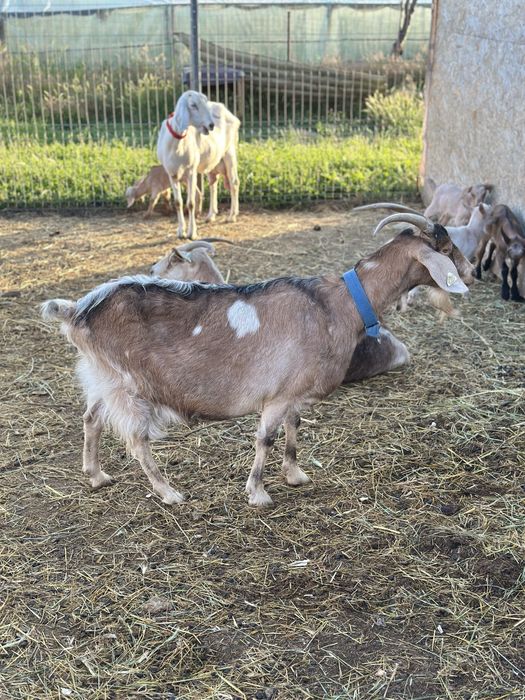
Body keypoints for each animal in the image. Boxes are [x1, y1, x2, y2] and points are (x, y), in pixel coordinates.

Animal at [41, 214, 472, 508]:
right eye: (445, 250)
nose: (470, 270)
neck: (339, 303)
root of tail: (76, 311)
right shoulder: (277, 395)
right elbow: (265, 437)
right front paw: (258, 492)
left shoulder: (295, 389)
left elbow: (294, 428)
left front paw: (295, 474)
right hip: (127, 385)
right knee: (136, 440)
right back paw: (169, 492)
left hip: (102, 378)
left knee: (91, 419)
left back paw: (97, 476)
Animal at [157, 90, 240, 239]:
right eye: (193, 105)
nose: (211, 125)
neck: (177, 144)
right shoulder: (171, 173)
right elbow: (178, 203)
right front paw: (181, 232)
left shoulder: (191, 171)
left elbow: (191, 203)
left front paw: (192, 233)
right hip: (214, 160)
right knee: (213, 183)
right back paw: (211, 215)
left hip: (230, 151)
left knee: (234, 182)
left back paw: (232, 216)